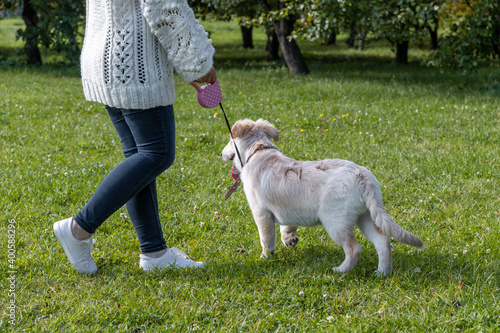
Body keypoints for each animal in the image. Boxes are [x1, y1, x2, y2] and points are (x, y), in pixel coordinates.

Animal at [222, 118, 422, 274]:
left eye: (230, 141)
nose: (221, 153)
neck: (259, 151)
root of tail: (362, 177)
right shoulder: (285, 208)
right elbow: (287, 226)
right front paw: (289, 240)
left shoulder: (261, 213)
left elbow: (266, 238)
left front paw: (265, 258)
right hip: (365, 216)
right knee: (383, 242)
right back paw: (382, 273)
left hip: (335, 222)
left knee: (354, 249)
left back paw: (340, 270)